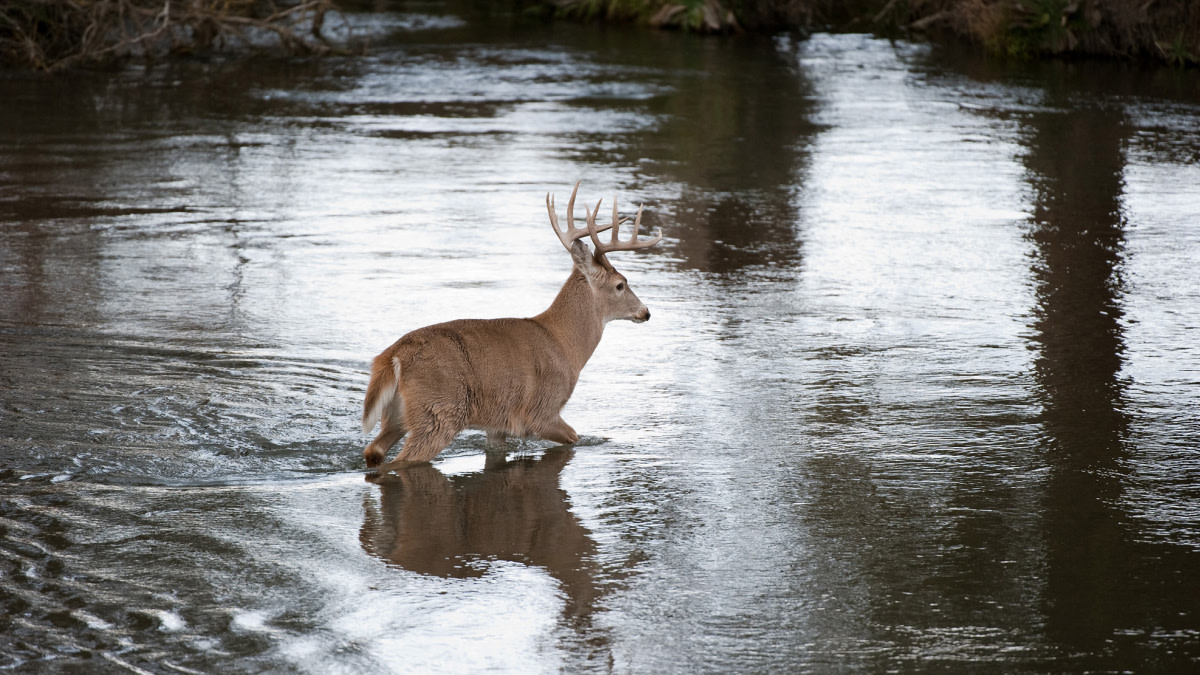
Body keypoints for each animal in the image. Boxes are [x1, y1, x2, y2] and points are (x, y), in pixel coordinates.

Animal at [360, 181, 662, 470]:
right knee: (403, 459)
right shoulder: (541, 411)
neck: (564, 343)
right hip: (439, 410)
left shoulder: (498, 424)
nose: (646, 312)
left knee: (373, 450)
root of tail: (394, 356)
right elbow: (574, 438)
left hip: (398, 414)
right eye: (621, 284)